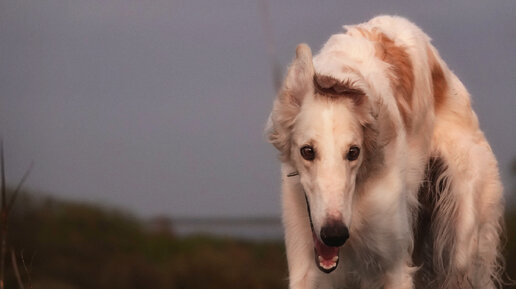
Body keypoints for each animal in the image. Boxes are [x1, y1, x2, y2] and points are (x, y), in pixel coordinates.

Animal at [266, 15, 504, 288]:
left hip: (462, 237)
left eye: (354, 152)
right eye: (307, 151)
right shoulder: (305, 265)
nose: (334, 234)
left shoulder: (393, 264)